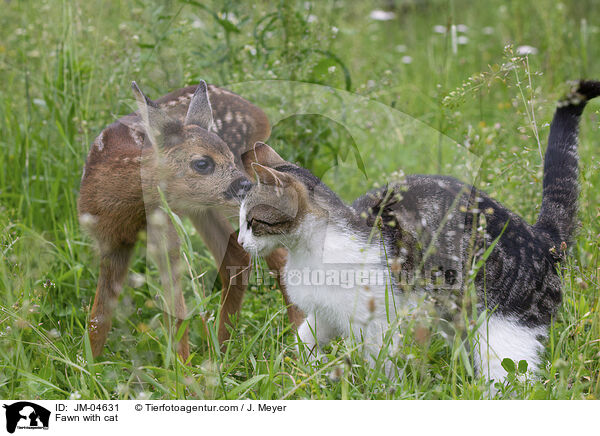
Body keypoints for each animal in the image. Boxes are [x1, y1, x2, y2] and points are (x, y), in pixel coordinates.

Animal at [237, 80, 596, 384]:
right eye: (240, 221)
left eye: (252, 222)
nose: (240, 241)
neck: (310, 251)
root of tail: (542, 237)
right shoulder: (325, 313)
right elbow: (305, 339)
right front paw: (301, 372)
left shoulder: (377, 323)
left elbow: (383, 367)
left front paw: (379, 390)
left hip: (504, 334)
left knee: (513, 379)